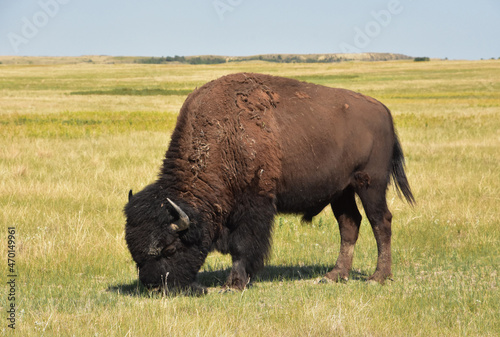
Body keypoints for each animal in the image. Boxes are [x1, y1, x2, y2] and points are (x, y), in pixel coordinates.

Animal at [124, 72, 414, 292]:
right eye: (134, 252)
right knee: (350, 224)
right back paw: (334, 275)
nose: (156, 287)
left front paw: (234, 284)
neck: (223, 137)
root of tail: (383, 110)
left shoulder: (254, 205)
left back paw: (377, 277)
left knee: (381, 222)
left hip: (370, 184)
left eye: (170, 249)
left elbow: (242, 245)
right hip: (341, 192)